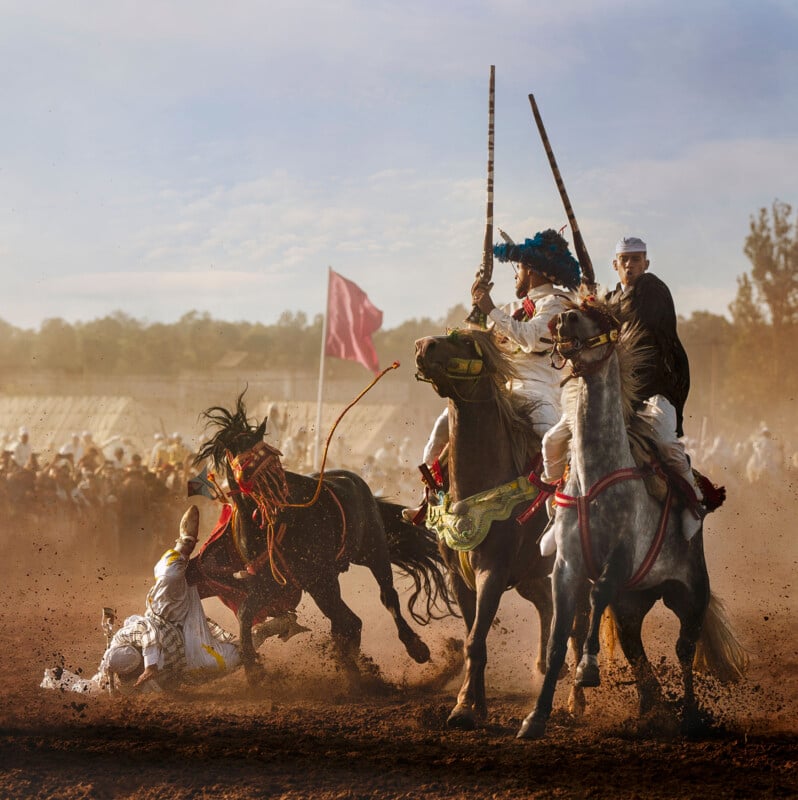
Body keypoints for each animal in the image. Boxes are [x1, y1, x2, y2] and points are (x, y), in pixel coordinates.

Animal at [189, 396, 456, 688]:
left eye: (275, 462)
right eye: (248, 469)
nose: (278, 508)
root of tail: (357, 482)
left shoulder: (319, 577)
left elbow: (347, 622)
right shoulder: (270, 585)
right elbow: (245, 614)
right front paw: (253, 670)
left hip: (370, 554)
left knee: (385, 598)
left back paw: (413, 648)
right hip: (324, 580)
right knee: (348, 620)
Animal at [416, 328, 592, 728]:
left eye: (465, 342)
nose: (422, 346)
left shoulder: (491, 572)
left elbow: (475, 639)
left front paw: (463, 708)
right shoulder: (458, 576)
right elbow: (473, 638)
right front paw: (475, 705)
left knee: (578, 628)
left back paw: (575, 701)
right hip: (530, 575)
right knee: (546, 603)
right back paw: (545, 666)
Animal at [520, 296, 752, 740]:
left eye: (601, 319)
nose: (564, 318)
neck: (595, 477)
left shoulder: (620, 559)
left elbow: (596, 597)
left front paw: (588, 670)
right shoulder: (566, 567)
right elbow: (558, 637)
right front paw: (536, 717)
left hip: (689, 592)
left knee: (685, 648)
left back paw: (690, 715)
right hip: (633, 604)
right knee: (636, 649)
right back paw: (650, 708)